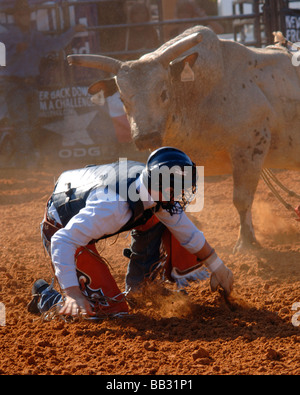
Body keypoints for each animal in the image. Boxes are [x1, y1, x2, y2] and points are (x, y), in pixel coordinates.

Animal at [68, 25, 300, 254]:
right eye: (123, 99)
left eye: (163, 93)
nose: (146, 137)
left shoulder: (249, 149)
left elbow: (242, 200)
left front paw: (246, 243)